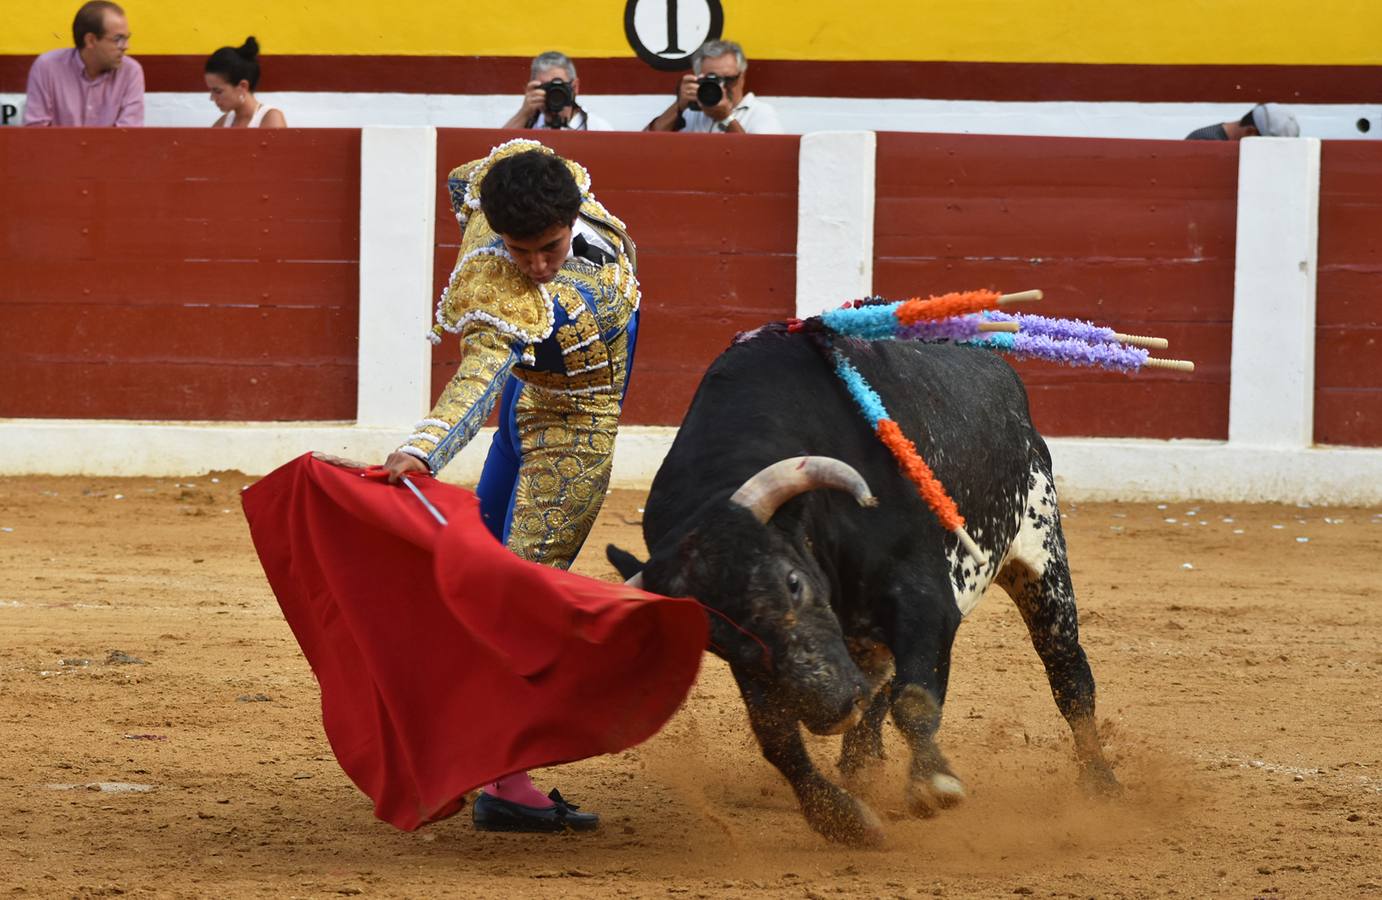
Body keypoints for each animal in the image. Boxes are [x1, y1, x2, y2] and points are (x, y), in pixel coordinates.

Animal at [610, 329, 1116, 846]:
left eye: (793, 582)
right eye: (717, 640)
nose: (832, 708)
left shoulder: (927, 601)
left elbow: (914, 700)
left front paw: (934, 783)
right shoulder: (759, 666)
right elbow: (778, 738)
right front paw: (842, 818)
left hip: (1042, 557)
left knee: (1068, 674)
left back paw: (1100, 784)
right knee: (878, 686)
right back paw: (861, 769)